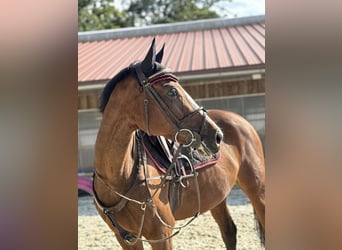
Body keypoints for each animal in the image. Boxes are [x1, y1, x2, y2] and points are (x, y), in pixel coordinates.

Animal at [93, 38, 264, 249]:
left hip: (257, 189)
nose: (216, 136)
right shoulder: (125, 238)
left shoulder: (161, 234)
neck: (119, 176)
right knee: (229, 232)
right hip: (217, 197)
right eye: (172, 91)